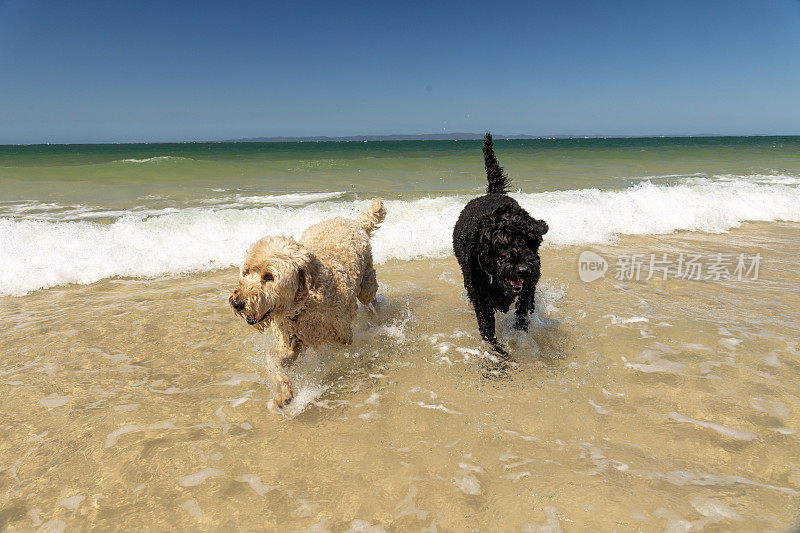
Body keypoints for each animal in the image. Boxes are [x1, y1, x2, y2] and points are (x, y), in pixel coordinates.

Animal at [228, 197, 388, 410]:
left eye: (269, 276)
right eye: (246, 272)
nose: (237, 303)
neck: (302, 307)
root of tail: (353, 222)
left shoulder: (341, 336)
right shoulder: (289, 343)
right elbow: (274, 361)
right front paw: (283, 394)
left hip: (366, 285)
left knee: (371, 299)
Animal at [454, 132, 548, 354]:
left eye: (531, 243)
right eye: (502, 245)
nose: (523, 270)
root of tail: (493, 193)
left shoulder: (527, 286)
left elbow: (522, 310)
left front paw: (520, 333)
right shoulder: (481, 298)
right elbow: (488, 329)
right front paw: (498, 352)